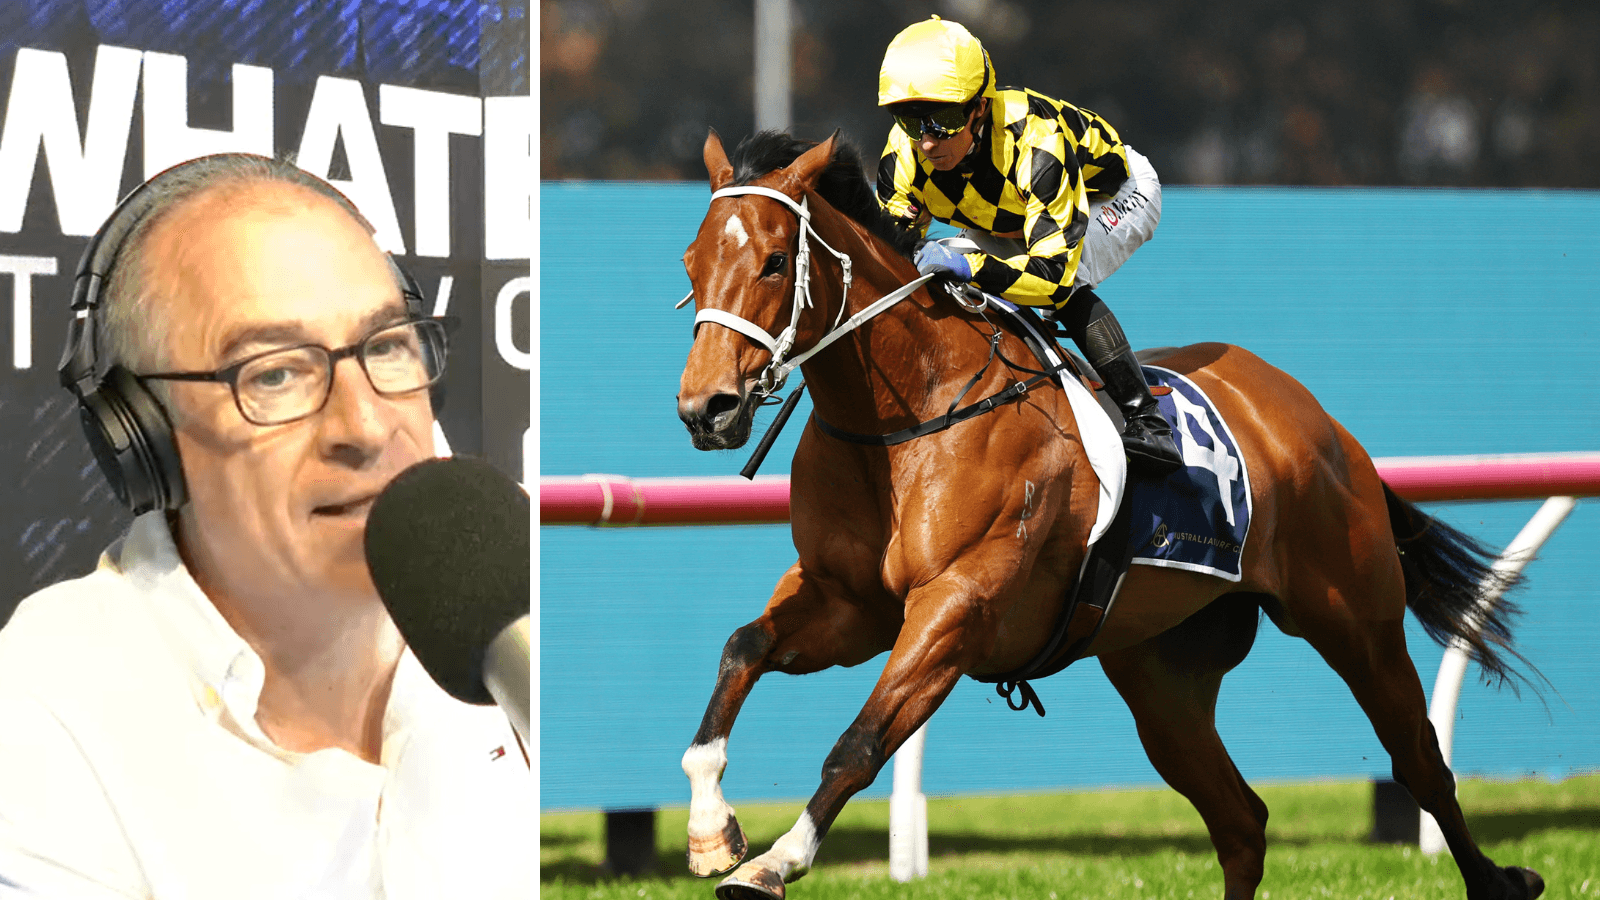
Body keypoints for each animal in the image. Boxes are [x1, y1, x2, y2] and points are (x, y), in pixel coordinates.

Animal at [673, 128, 1543, 900]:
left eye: (775, 261)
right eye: (691, 263)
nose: (706, 408)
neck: (908, 414)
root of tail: (1320, 423)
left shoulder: (957, 605)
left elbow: (858, 743)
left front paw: (774, 862)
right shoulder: (851, 605)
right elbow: (741, 650)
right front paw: (713, 827)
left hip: (1355, 619)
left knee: (1421, 764)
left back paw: (1502, 878)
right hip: (1163, 677)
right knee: (1243, 823)